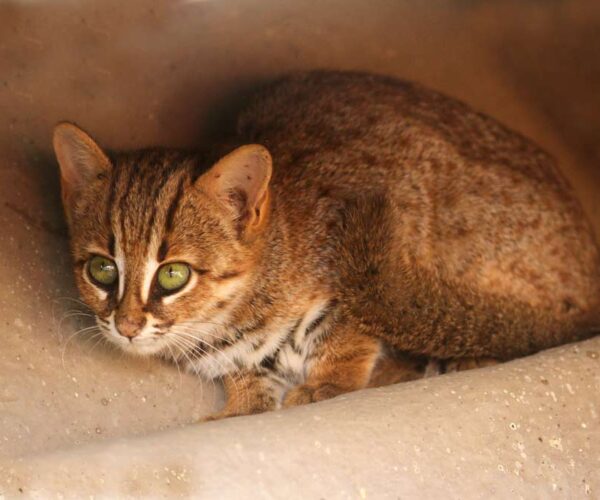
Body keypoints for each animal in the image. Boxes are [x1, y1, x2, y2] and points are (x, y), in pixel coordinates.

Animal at [52, 70, 600, 420]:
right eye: (102, 269)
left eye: (173, 274)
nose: (125, 327)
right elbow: (249, 382)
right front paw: (241, 406)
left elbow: (348, 332)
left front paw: (328, 382)